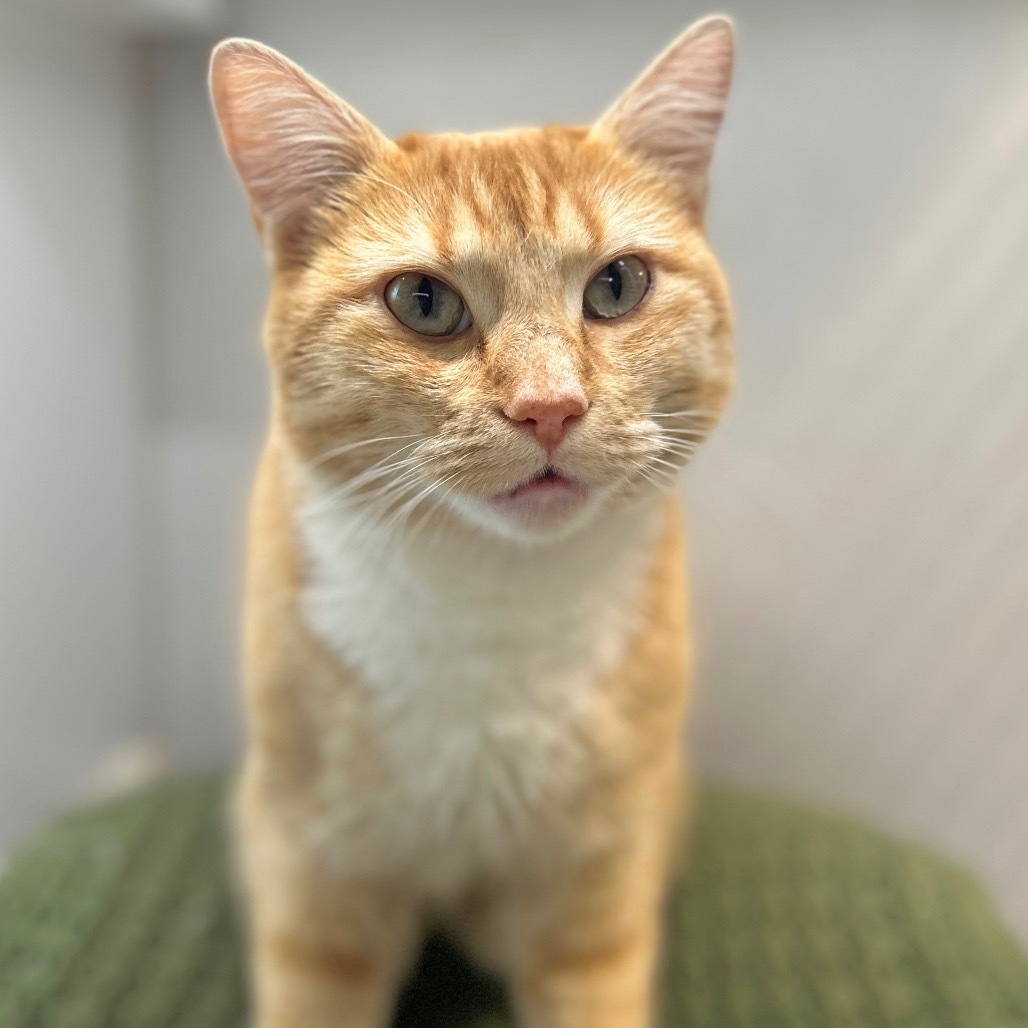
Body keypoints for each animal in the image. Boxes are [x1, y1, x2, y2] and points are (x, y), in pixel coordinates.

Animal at [212, 18, 736, 1028]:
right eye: (423, 302)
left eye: (618, 286)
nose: (549, 407)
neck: (494, 605)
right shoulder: (311, 858)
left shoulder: (602, 869)